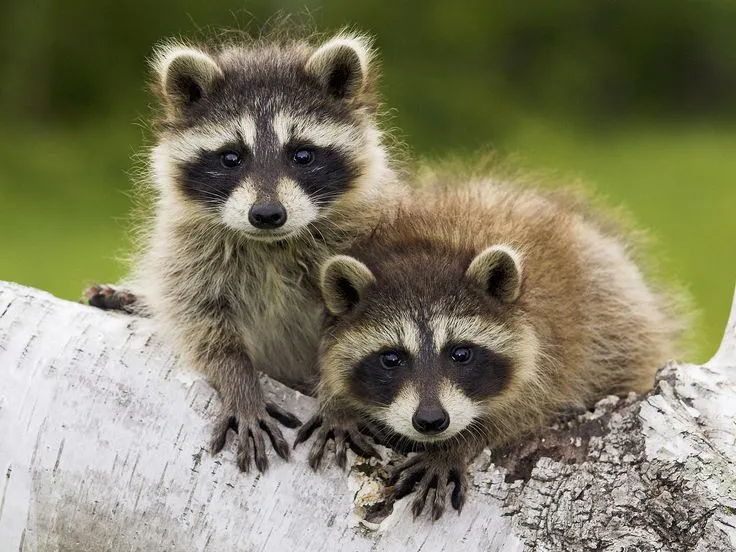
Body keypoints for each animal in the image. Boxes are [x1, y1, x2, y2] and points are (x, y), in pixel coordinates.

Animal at [86, 30, 403, 472]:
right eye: (231, 157)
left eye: (302, 154)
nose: (267, 214)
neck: (270, 244)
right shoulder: (188, 248)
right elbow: (201, 320)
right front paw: (239, 381)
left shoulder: (366, 237)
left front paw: (339, 403)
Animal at [296, 177, 685, 518]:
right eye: (391, 358)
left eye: (460, 353)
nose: (431, 421)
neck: (430, 244)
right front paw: (338, 403)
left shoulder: (555, 348)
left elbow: (527, 408)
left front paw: (458, 444)